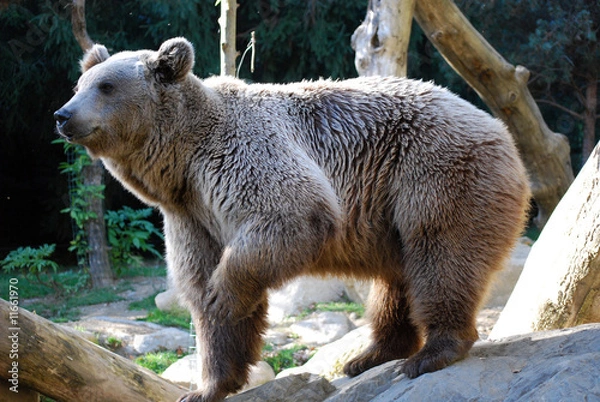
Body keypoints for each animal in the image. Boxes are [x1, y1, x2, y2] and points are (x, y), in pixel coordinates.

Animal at [52, 37, 528, 402]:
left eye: (106, 86)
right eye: (80, 83)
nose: (63, 115)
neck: (181, 161)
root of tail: (499, 130)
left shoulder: (242, 157)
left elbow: (290, 214)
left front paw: (223, 297)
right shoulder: (191, 214)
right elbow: (200, 287)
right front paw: (206, 386)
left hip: (433, 171)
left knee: (442, 255)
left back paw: (431, 353)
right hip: (390, 212)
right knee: (397, 280)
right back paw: (370, 355)